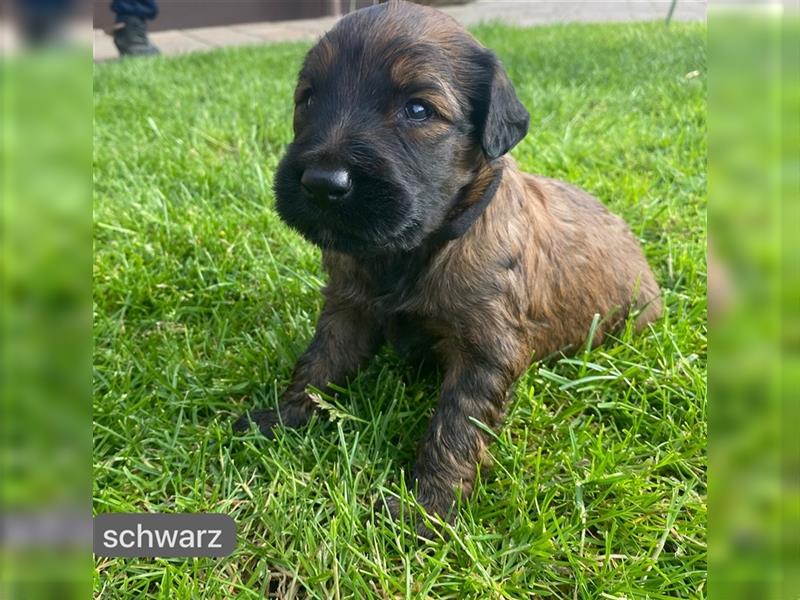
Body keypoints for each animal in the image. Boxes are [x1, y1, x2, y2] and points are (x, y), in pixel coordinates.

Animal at [236, 0, 664, 536]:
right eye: (308, 99)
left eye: (418, 109)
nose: (321, 182)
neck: (413, 250)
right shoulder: (347, 309)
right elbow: (318, 364)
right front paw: (282, 416)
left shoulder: (485, 351)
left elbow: (456, 425)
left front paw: (428, 507)